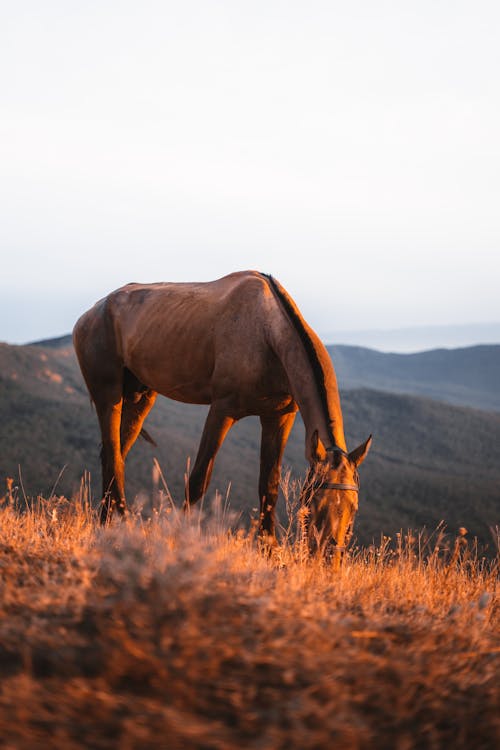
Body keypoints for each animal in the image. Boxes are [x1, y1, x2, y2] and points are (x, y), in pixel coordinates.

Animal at [73, 274, 372, 556]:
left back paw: (106, 525)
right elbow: (197, 480)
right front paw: (177, 539)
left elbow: (269, 485)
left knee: (114, 454)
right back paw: (120, 526)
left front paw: (268, 550)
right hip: (108, 395)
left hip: (140, 397)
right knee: (113, 456)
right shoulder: (222, 411)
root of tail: (90, 314)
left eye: (354, 508)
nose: (329, 559)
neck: (268, 335)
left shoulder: (279, 418)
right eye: (314, 502)